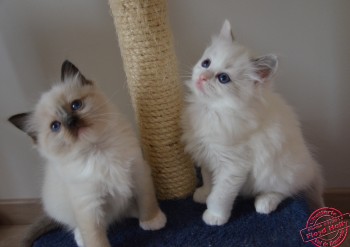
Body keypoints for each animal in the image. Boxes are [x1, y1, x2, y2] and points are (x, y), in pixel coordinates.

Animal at [8, 60, 167, 247]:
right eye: (55, 126)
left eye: (76, 105)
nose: (71, 122)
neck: (99, 151)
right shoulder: (87, 204)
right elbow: (94, 236)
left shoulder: (138, 173)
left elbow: (146, 199)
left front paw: (152, 220)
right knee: (76, 225)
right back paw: (80, 238)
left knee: (125, 210)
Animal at [182, 20, 324, 226]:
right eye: (206, 63)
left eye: (223, 78)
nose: (202, 77)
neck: (211, 110)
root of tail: (310, 166)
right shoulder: (207, 154)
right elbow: (209, 180)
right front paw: (204, 193)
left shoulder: (233, 166)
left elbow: (220, 195)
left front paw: (215, 216)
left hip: (277, 171)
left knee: (286, 191)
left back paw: (265, 202)